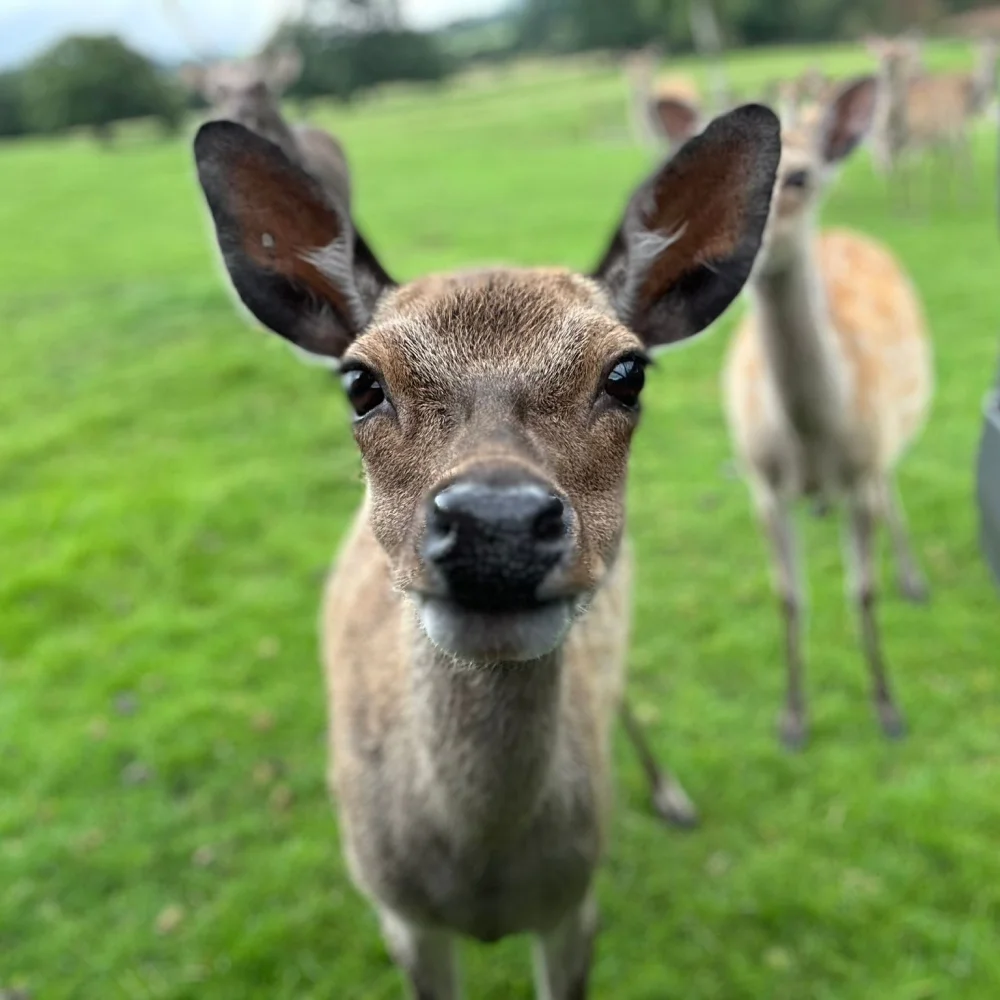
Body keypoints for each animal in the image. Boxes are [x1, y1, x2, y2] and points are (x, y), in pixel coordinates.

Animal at [189, 105, 780, 996]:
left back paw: (671, 795)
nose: (494, 524)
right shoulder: (399, 917)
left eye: (628, 372)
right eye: (360, 382)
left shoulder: (575, 908)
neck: (484, 885)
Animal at [724, 76, 932, 752]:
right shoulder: (761, 482)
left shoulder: (865, 462)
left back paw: (914, 580)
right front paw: (792, 719)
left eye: (800, 177)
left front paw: (888, 710)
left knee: (891, 488)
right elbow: (788, 596)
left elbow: (863, 590)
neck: (812, 439)